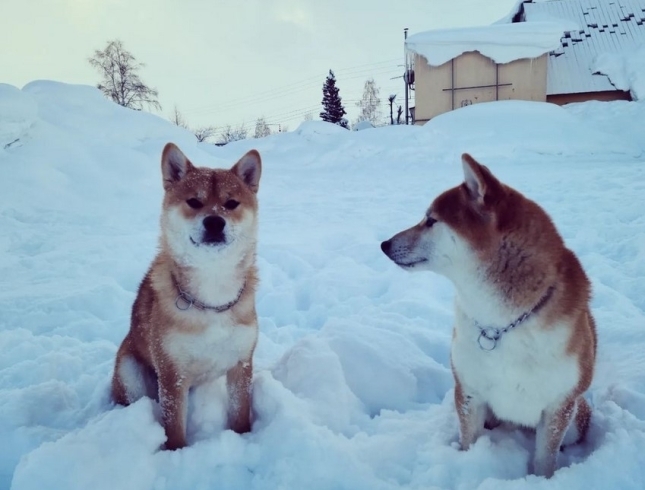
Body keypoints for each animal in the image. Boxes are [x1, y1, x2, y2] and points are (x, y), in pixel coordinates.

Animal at [113, 142, 262, 448]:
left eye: (231, 203)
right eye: (194, 202)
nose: (215, 222)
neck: (212, 297)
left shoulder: (241, 364)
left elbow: (241, 413)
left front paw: (243, 438)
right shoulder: (172, 375)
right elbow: (174, 429)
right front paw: (175, 452)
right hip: (130, 373)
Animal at [380, 154, 596, 478]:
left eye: (431, 220)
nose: (385, 244)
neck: (502, 323)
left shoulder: (560, 404)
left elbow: (545, 460)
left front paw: (542, 479)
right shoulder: (469, 392)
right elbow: (468, 441)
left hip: (577, 418)